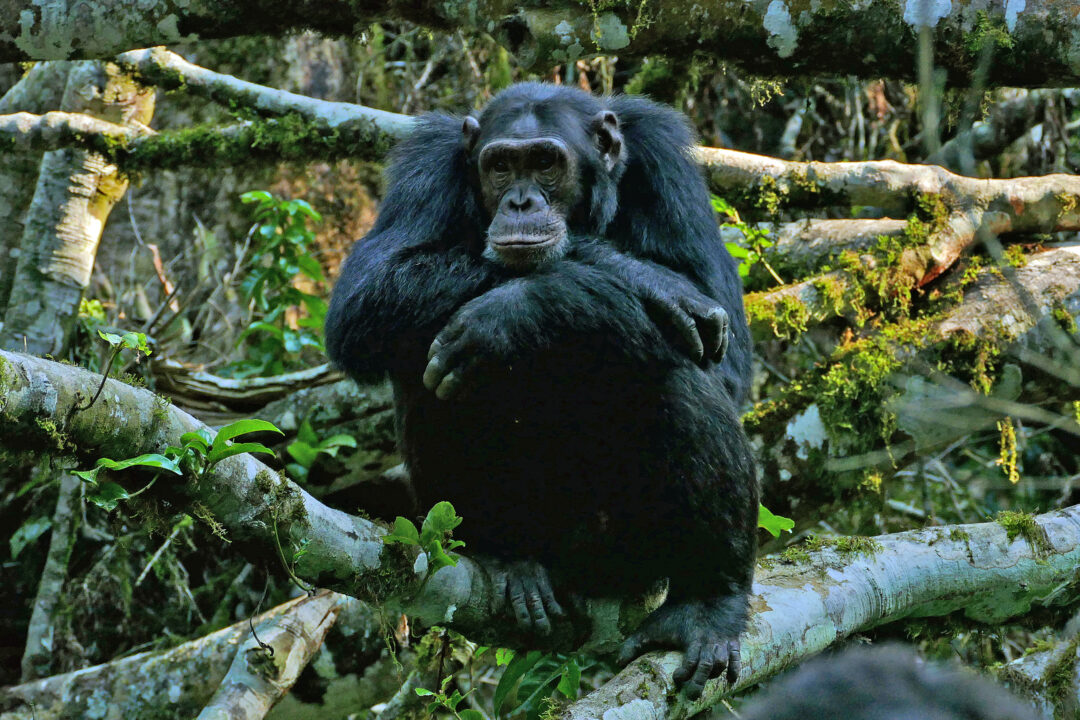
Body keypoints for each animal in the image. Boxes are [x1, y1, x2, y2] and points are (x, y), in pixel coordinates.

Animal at [328, 83, 760, 699]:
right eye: (501, 166)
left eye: (546, 164)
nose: (521, 203)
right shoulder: (425, 167)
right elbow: (365, 295)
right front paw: (645, 280)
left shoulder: (667, 165)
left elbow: (729, 359)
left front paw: (518, 310)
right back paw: (505, 556)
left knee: (675, 371)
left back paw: (708, 602)